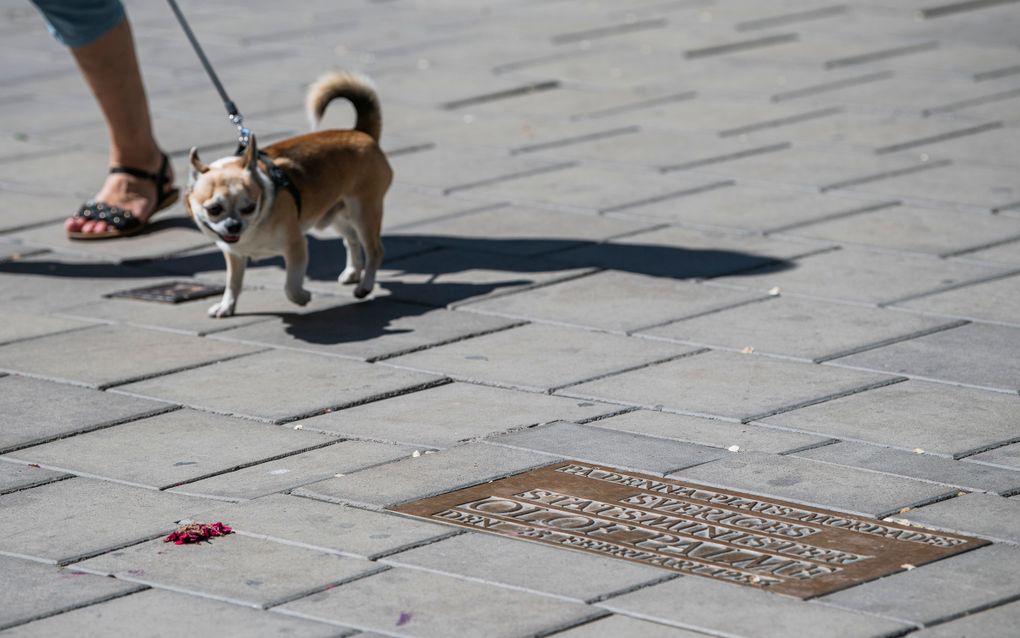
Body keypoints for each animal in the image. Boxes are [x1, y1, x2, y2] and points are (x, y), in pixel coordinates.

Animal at [183, 72, 389, 318]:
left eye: (249, 207)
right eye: (214, 209)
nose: (234, 226)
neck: (256, 226)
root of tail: (361, 133)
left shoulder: (296, 246)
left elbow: (291, 284)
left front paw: (302, 297)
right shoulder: (234, 255)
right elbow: (233, 283)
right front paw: (227, 306)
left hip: (363, 211)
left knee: (374, 250)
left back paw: (365, 286)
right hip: (334, 213)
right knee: (351, 238)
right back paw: (352, 272)